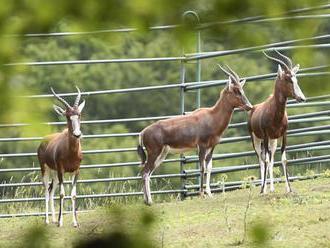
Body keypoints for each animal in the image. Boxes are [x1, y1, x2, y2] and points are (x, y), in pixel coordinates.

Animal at [37, 86, 85, 227]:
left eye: (79, 115)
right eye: (68, 116)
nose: (77, 134)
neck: (71, 151)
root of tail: (44, 140)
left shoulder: (76, 171)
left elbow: (73, 195)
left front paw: (75, 223)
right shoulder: (61, 170)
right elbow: (62, 194)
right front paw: (60, 222)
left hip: (55, 174)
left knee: (51, 190)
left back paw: (53, 219)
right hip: (46, 170)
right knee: (46, 190)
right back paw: (48, 220)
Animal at [137, 64, 253, 205]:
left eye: (242, 89)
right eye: (235, 90)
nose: (249, 106)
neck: (211, 116)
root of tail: (143, 132)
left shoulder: (212, 147)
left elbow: (209, 168)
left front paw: (209, 193)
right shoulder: (201, 146)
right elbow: (202, 168)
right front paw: (201, 194)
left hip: (162, 154)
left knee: (148, 173)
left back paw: (148, 200)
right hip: (154, 153)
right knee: (145, 172)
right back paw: (149, 201)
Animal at [248, 50, 306, 194]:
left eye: (296, 79)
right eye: (288, 79)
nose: (302, 98)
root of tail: (253, 109)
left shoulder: (284, 135)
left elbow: (283, 160)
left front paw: (289, 188)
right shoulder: (265, 136)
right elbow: (266, 161)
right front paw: (263, 190)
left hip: (273, 141)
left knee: (271, 158)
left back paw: (272, 188)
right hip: (257, 139)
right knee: (262, 160)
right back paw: (264, 189)